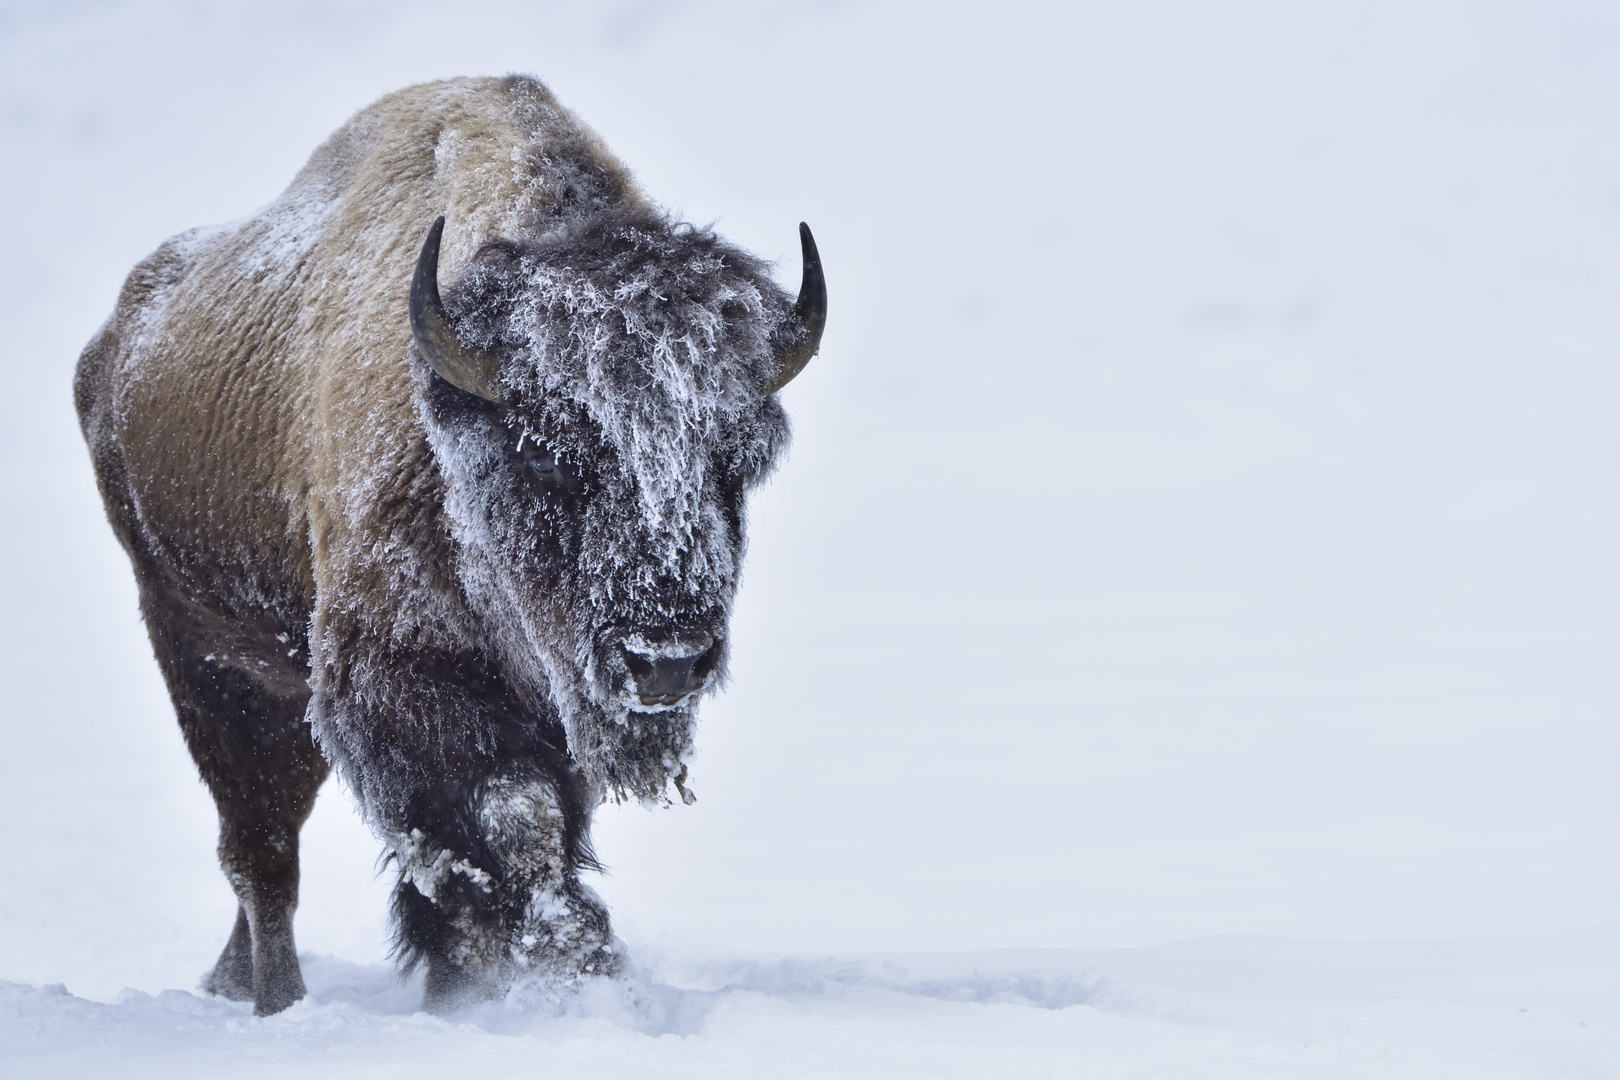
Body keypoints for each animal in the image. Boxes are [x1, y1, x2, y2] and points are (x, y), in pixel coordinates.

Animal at [74, 76, 822, 1016]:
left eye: (739, 456)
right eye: (549, 454)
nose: (667, 660)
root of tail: (112, 343)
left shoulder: (550, 706)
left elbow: (537, 823)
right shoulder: (396, 680)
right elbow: (512, 817)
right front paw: (557, 961)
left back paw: (231, 981)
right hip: (209, 660)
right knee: (262, 851)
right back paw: (280, 1000)